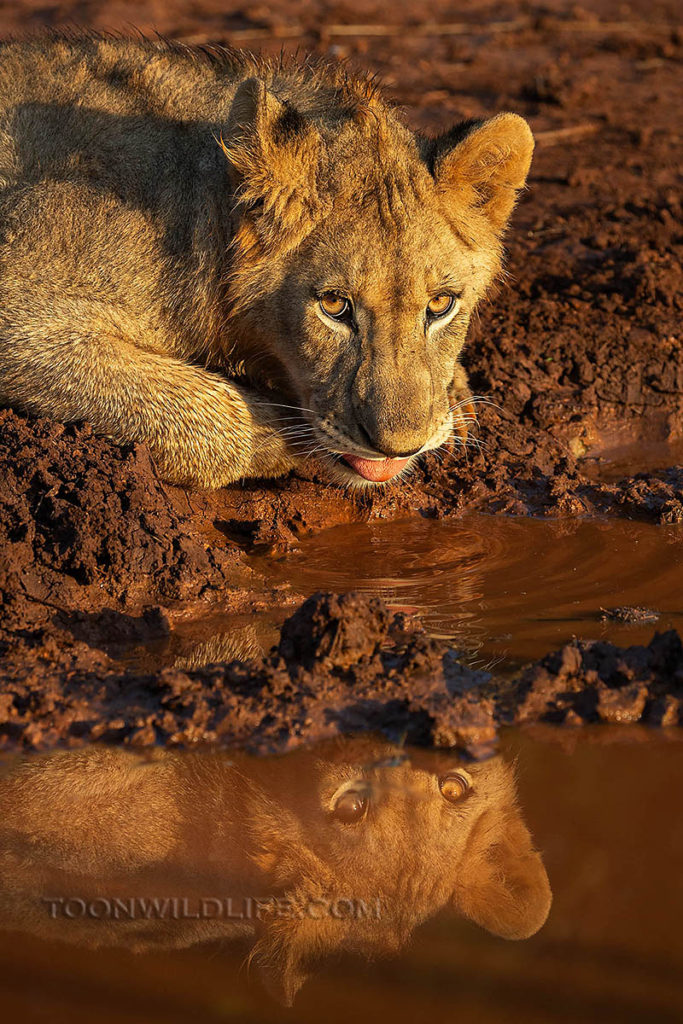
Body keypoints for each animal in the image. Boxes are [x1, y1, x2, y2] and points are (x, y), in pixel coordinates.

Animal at [0, 35, 533, 488]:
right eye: (334, 305)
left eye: (441, 304)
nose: (399, 448)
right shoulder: (19, 300)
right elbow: (205, 410)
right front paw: (280, 437)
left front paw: (456, 398)